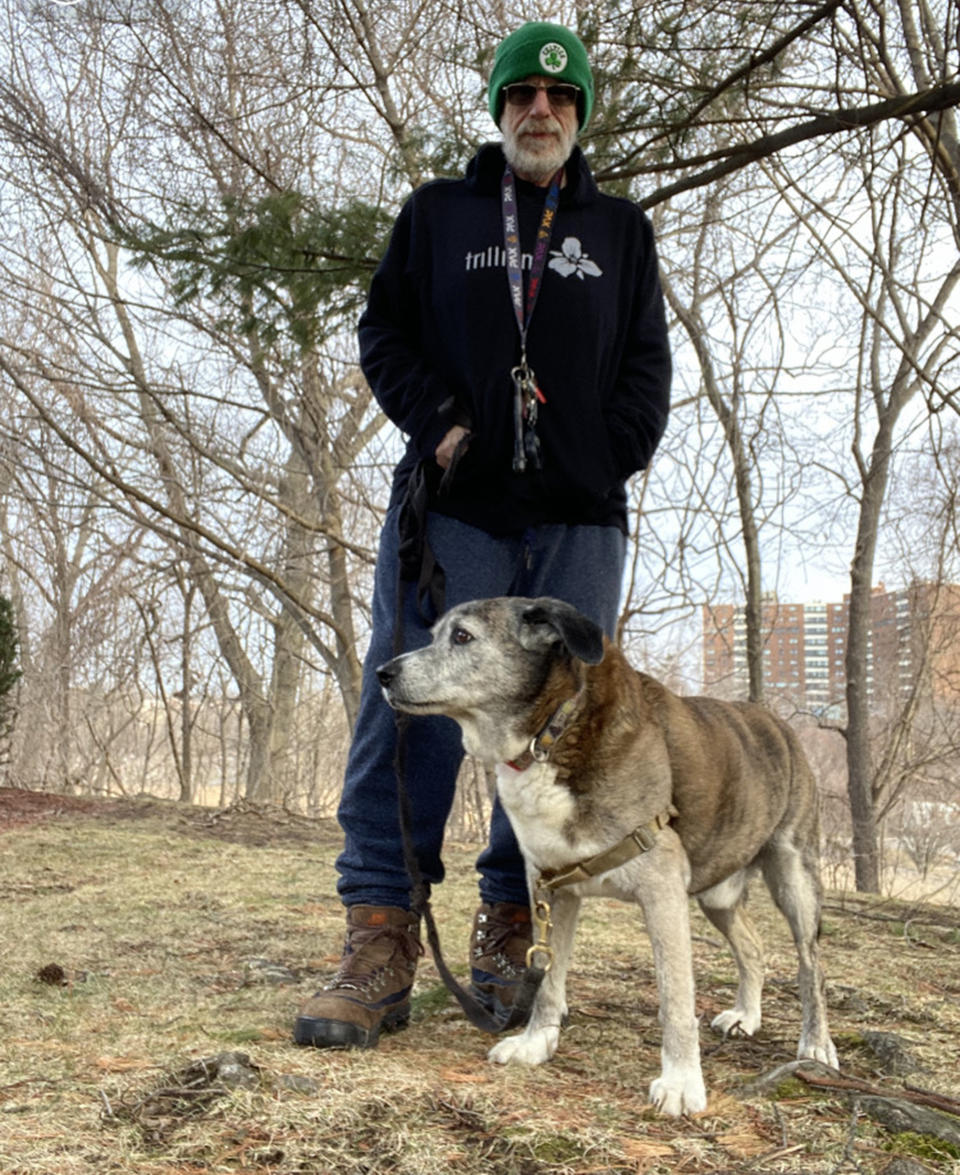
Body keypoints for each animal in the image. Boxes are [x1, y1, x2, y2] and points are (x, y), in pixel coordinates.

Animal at [376, 596, 836, 1109]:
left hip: (794, 877)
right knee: (753, 947)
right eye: (435, 635)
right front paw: (537, 1043)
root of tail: (776, 721)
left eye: (462, 637)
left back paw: (816, 1044)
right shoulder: (551, 887)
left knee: (811, 966)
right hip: (718, 893)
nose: (382, 673)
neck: (554, 729)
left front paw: (681, 1082)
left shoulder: (661, 891)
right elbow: (547, 983)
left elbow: (675, 998)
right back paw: (746, 1016)